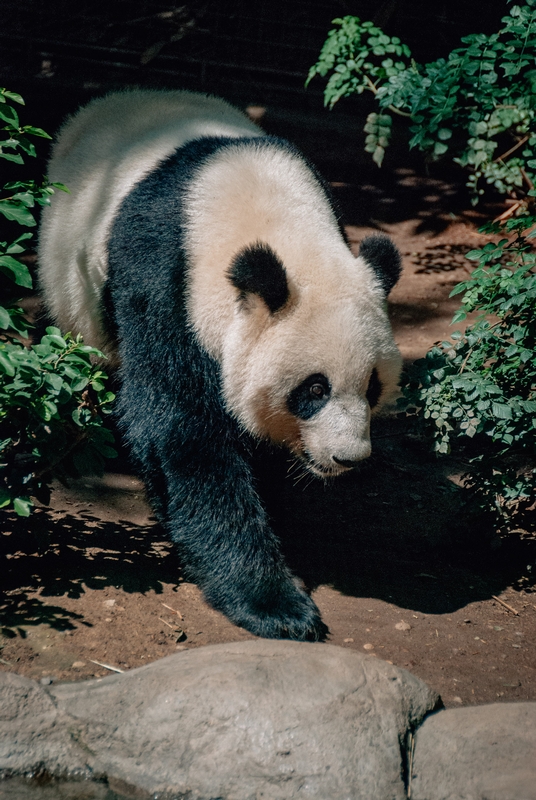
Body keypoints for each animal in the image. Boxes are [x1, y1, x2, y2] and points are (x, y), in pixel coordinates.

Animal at [38, 89, 402, 636]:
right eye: (314, 389)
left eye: (373, 387)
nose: (348, 458)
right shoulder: (163, 284)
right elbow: (183, 431)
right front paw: (275, 604)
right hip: (71, 277)